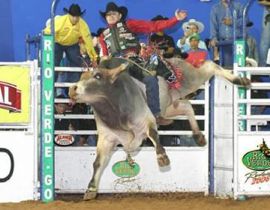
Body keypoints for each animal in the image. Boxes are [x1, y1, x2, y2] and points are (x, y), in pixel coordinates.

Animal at [68, 56, 250, 200]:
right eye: (81, 76)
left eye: (97, 76)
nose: (72, 89)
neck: (116, 109)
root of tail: (172, 59)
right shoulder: (106, 138)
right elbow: (98, 162)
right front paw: (91, 189)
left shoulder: (146, 119)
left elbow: (154, 134)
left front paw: (162, 157)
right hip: (169, 106)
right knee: (187, 106)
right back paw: (198, 136)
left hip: (191, 80)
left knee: (210, 66)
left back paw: (240, 80)